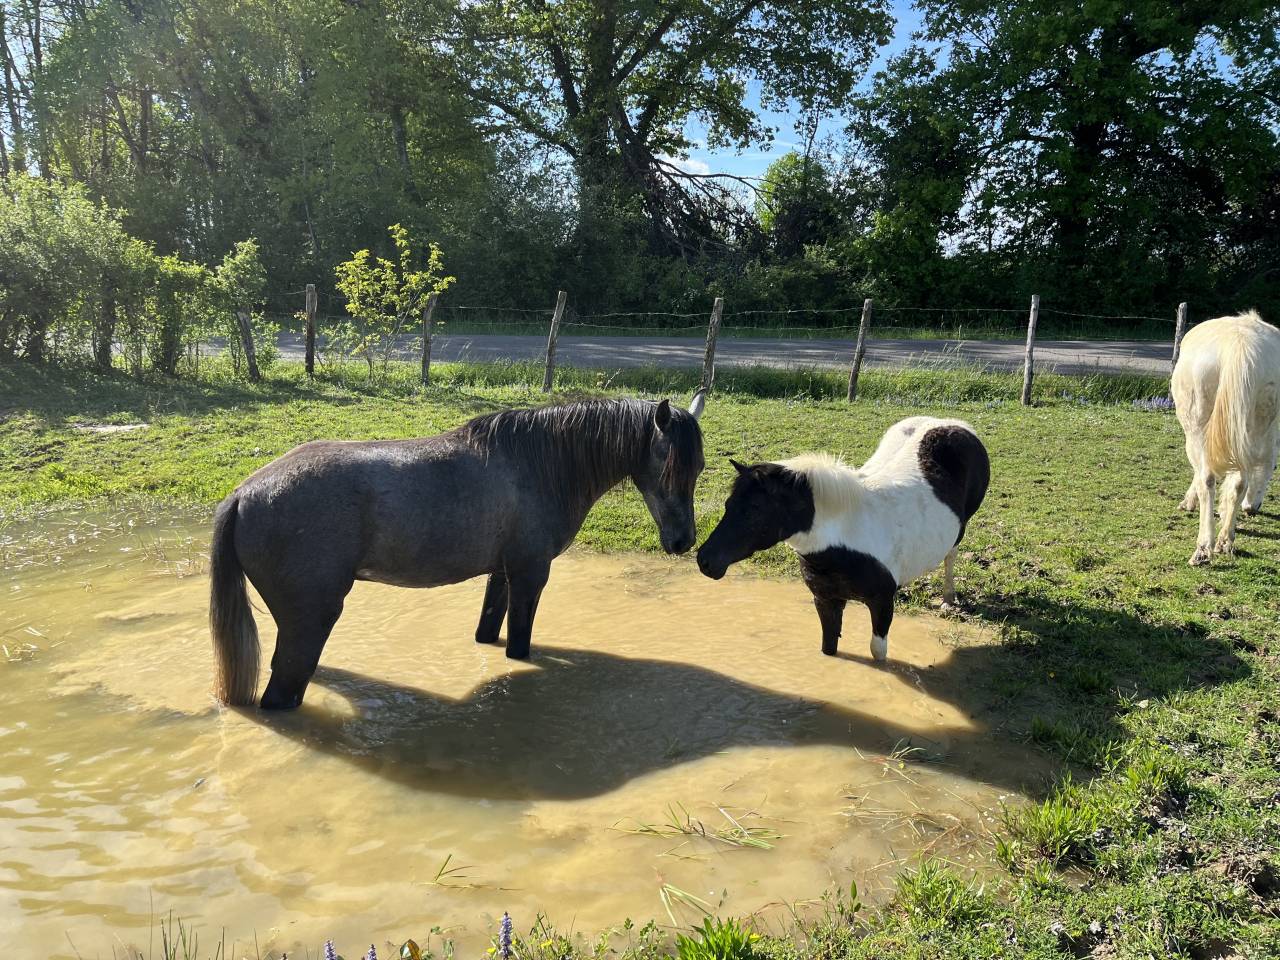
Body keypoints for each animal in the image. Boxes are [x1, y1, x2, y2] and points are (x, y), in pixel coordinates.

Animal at [210, 392, 706, 709]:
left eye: (699, 465)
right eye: (668, 463)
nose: (683, 541)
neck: (539, 464)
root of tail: (242, 495)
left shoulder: (501, 574)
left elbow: (488, 631)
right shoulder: (530, 575)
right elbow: (519, 646)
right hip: (310, 620)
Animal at [696, 417, 988, 662]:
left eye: (754, 509)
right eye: (728, 504)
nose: (704, 561)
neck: (845, 537)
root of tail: (955, 424)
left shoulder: (882, 604)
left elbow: (877, 653)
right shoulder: (826, 600)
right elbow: (828, 647)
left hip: (962, 528)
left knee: (951, 555)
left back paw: (948, 599)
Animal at [1172, 310, 1280, 565]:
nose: (1253, 508)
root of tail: (1240, 343)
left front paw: (1188, 502)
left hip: (1197, 427)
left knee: (1207, 478)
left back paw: (1203, 548)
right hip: (1249, 430)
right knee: (1240, 482)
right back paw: (1225, 540)